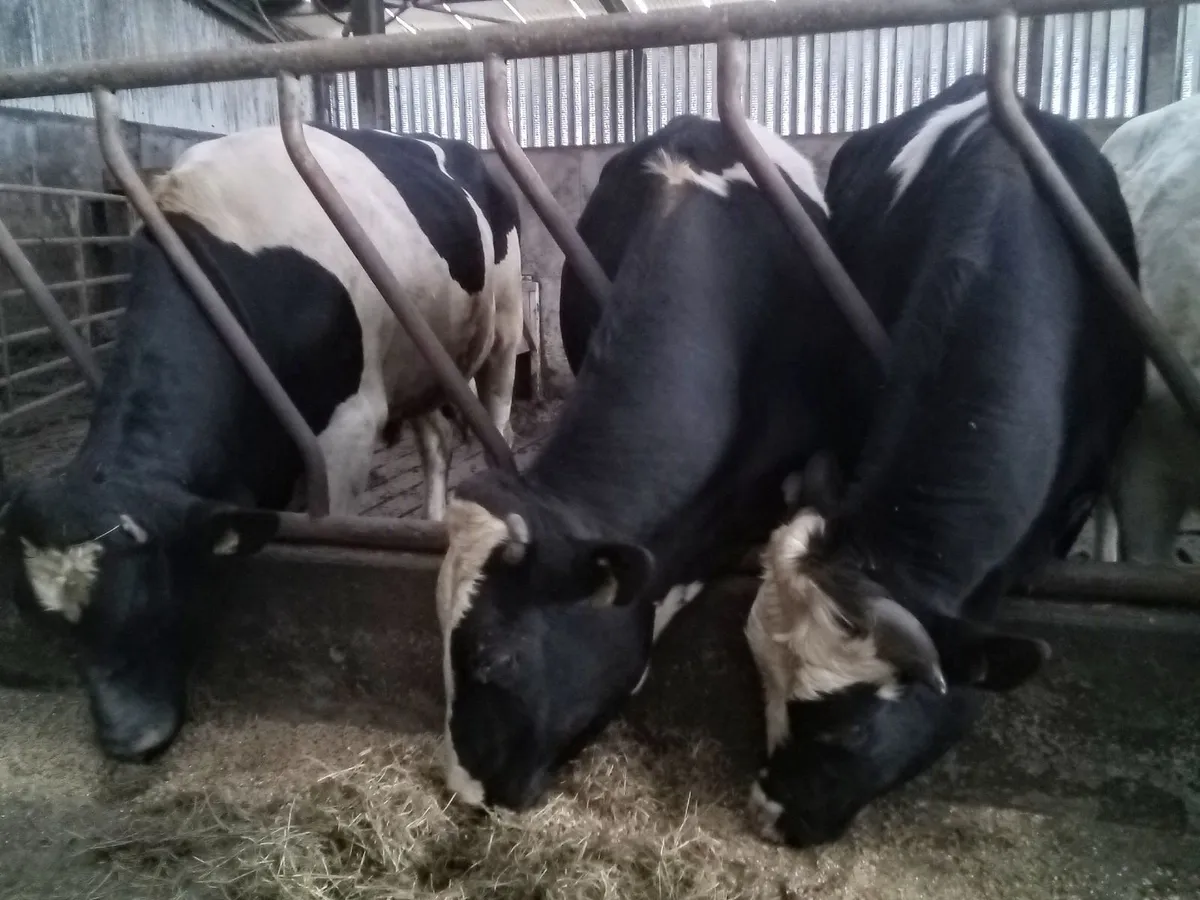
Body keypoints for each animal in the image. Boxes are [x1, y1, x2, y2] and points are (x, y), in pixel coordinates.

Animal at [0, 123, 522, 762]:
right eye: (53, 631)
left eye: (153, 602)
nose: (129, 740)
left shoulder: (347, 425)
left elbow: (333, 527)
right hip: (421, 364)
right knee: (436, 441)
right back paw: (430, 520)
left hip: (504, 324)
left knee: (498, 416)